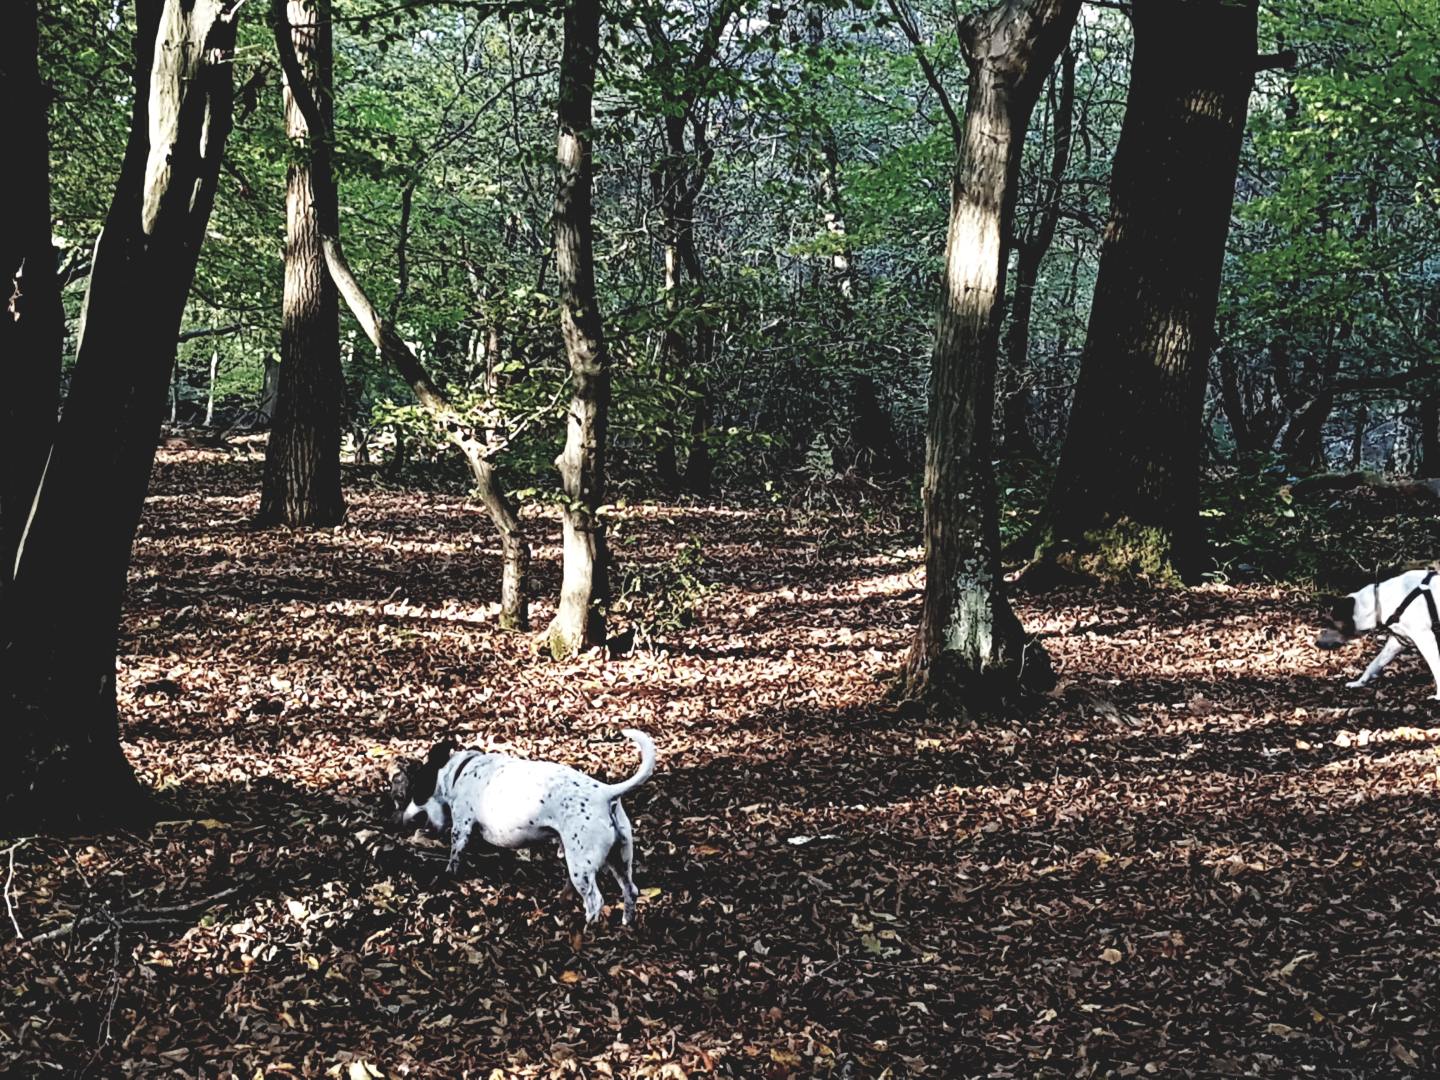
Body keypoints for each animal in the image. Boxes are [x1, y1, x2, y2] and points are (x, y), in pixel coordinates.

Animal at [390, 729, 655, 924]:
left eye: (416, 791)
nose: (401, 819)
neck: (461, 770)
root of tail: (606, 793)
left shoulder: (462, 827)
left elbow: (455, 856)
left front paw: (448, 874)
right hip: (620, 859)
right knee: (630, 891)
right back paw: (624, 923)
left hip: (582, 865)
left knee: (595, 902)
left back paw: (586, 927)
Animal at [1317, 569, 1440, 699]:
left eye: (1330, 623)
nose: (1316, 643)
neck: (1379, 602)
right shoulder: (1398, 642)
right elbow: (1373, 664)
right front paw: (1359, 682)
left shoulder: (1426, 638)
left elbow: (1436, 668)